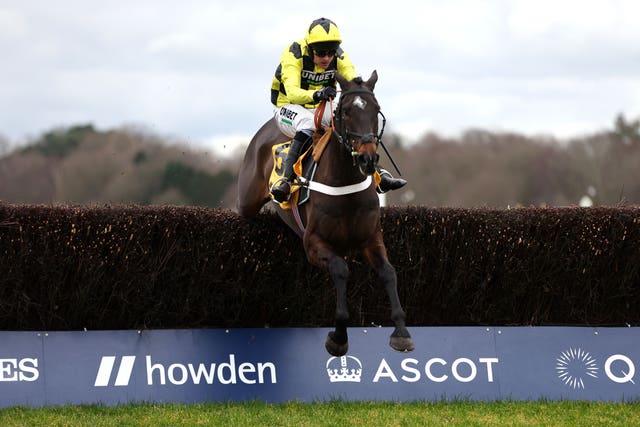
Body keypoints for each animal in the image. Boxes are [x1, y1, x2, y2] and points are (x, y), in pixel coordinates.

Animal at [236, 71, 416, 358]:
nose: (367, 159)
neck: (345, 186)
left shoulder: (371, 238)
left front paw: (401, 332)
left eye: (376, 109)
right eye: (346, 111)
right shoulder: (313, 243)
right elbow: (341, 270)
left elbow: (388, 272)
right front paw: (339, 336)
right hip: (247, 198)